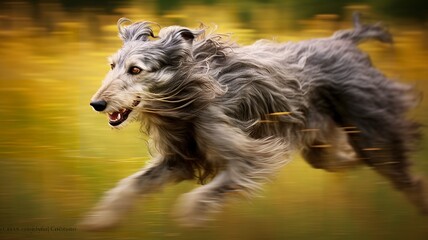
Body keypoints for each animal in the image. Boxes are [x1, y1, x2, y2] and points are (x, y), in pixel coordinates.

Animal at [79, 13, 424, 231]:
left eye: (136, 69)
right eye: (112, 65)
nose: (97, 104)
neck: (188, 97)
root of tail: (345, 41)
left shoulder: (249, 153)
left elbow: (207, 193)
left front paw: (190, 217)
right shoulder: (179, 157)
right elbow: (132, 184)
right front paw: (102, 219)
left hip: (373, 131)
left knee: (406, 177)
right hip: (322, 147)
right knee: (347, 159)